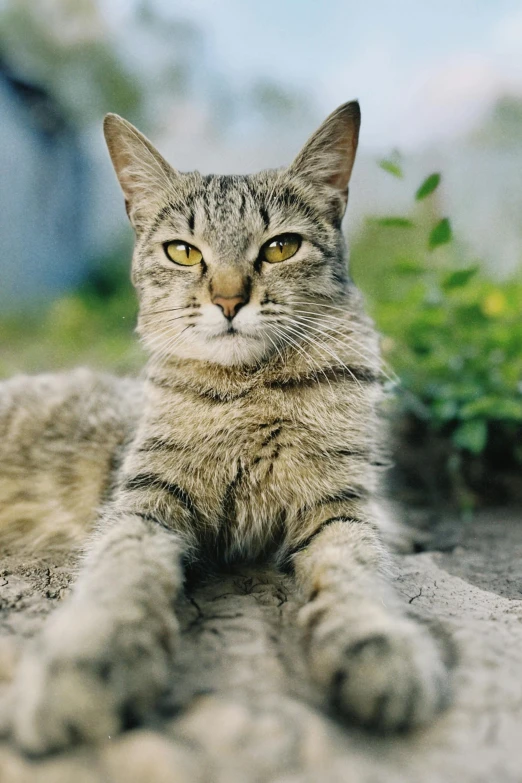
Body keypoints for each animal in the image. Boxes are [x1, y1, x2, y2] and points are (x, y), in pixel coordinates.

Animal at [2, 104, 450, 752]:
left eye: (281, 247)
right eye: (184, 253)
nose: (230, 300)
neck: (249, 392)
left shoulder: (339, 506)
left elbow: (358, 570)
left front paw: (377, 640)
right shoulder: (143, 502)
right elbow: (119, 570)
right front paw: (85, 660)